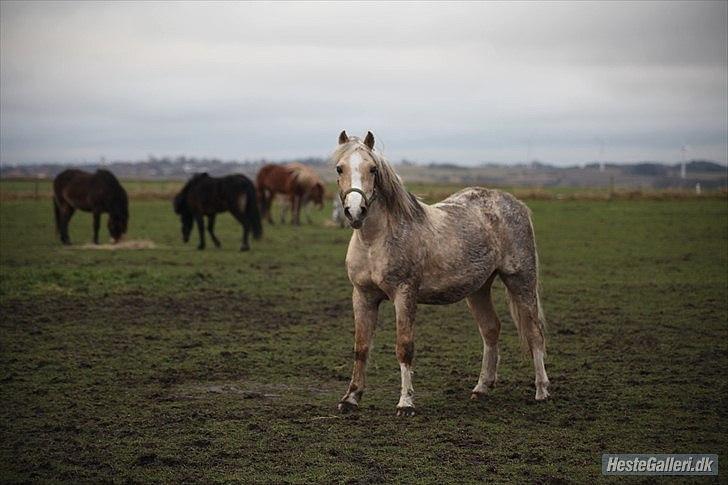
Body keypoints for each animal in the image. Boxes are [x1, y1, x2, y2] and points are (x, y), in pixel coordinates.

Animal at [332, 132, 548, 416]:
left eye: (373, 169)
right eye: (339, 168)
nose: (355, 211)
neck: (374, 241)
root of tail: (516, 204)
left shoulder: (404, 295)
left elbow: (404, 348)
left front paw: (406, 403)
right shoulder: (362, 296)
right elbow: (361, 348)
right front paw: (351, 398)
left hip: (521, 280)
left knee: (534, 332)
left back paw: (542, 391)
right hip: (479, 289)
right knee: (491, 330)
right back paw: (481, 388)